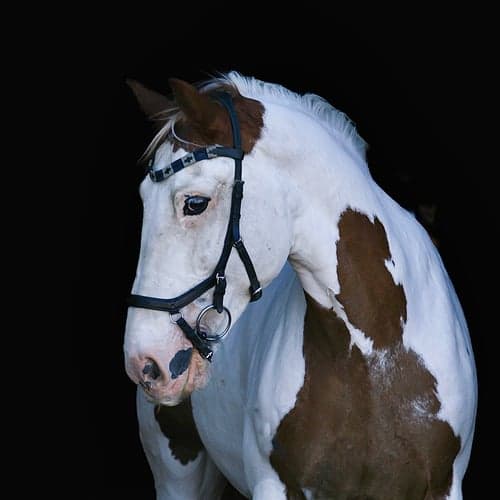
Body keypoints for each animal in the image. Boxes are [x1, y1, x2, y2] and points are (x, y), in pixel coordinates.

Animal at [122, 72, 476, 498]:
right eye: (143, 200)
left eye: (194, 203)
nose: (145, 363)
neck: (376, 349)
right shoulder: (274, 484)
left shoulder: (443, 486)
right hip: (178, 470)